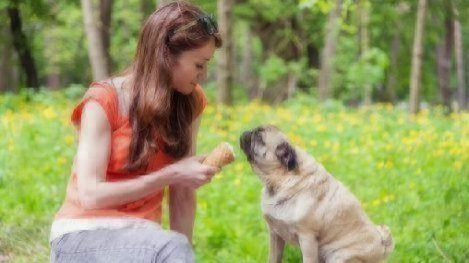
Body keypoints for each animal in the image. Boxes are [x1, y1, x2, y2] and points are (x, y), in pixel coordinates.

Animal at [239, 126, 394, 263]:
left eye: (259, 136)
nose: (247, 131)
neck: (280, 181)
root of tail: (382, 245)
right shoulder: (275, 234)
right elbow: (273, 258)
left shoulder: (307, 239)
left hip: (338, 256)